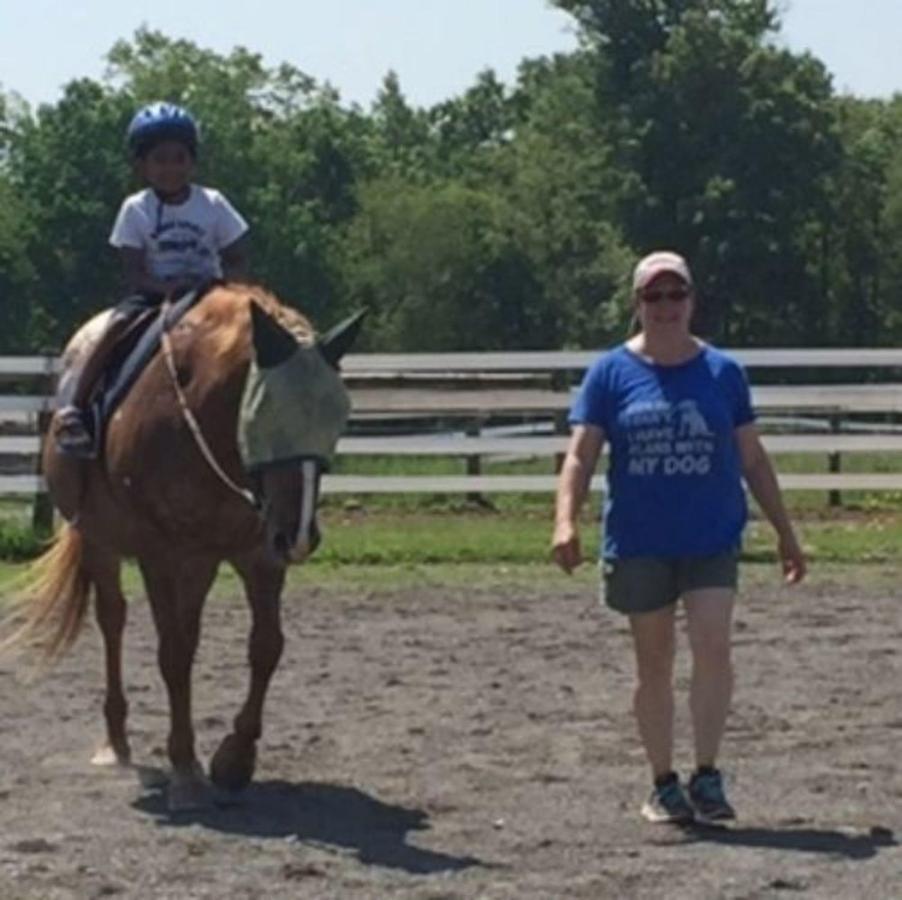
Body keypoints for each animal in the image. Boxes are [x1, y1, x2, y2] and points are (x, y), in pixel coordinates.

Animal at [7, 284, 360, 812]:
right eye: (265, 414)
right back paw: (116, 743)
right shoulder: (163, 556)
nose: (298, 535)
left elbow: (266, 646)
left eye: (338, 415)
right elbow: (173, 654)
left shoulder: (256, 555)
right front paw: (186, 770)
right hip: (100, 540)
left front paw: (234, 759)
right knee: (113, 619)